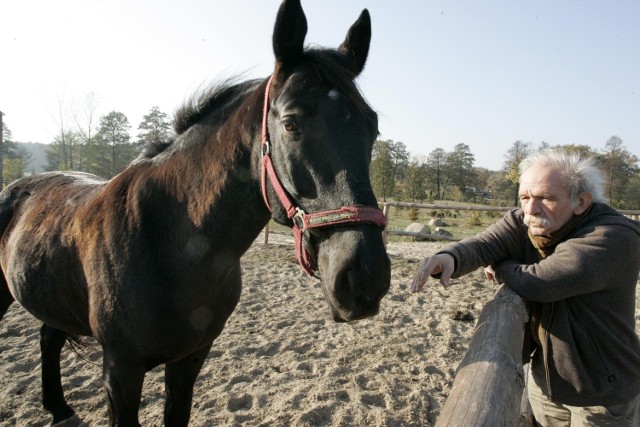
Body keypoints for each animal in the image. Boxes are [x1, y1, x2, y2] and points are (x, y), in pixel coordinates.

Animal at [0, 1, 390, 426]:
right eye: (291, 124)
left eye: (373, 126)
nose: (364, 277)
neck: (169, 244)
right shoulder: (120, 371)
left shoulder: (190, 359)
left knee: (48, 337)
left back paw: (59, 408)